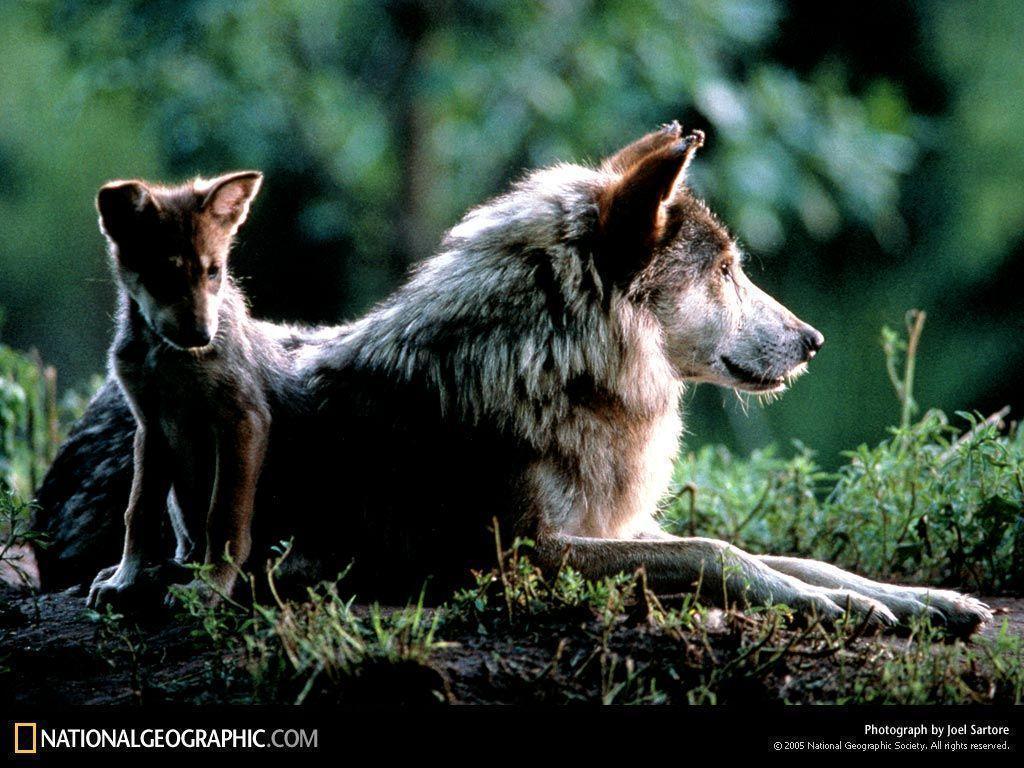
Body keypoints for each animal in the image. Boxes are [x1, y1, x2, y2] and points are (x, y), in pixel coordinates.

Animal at [36, 123, 991, 634]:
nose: (814, 340)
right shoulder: (528, 554)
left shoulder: (617, 526)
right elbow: (717, 552)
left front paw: (920, 600)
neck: (556, 371)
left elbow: (788, 553)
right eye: (725, 272)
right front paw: (837, 609)